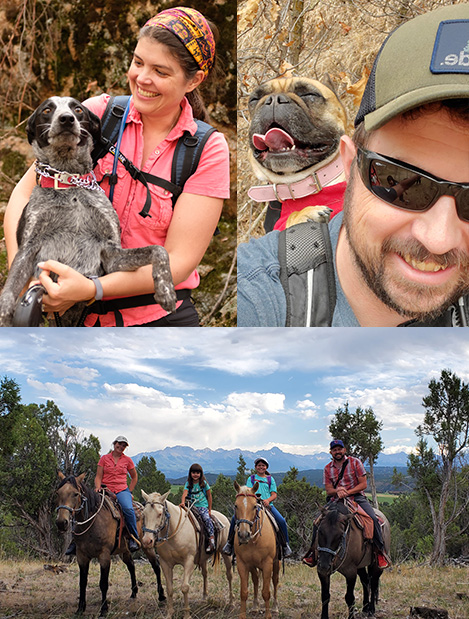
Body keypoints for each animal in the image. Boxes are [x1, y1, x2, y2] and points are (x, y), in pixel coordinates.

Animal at [55, 474, 165, 616]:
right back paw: (134, 593)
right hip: (125, 550)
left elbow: (103, 583)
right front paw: (80, 609)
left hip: (147, 545)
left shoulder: (104, 555)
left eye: (75, 494)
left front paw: (104, 610)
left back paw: (161, 596)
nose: (61, 522)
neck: (93, 522)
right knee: (131, 566)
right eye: (58, 493)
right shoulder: (81, 556)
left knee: (156, 566)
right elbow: (82, 582)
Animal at [140, 490, 233, 619]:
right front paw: (169, 613)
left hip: (226, 555)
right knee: (205, 574)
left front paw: (187, 614)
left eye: (159, 513)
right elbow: (169, 588)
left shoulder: (189, 562)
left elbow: (185, 587)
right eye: (144, 514)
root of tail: (222, 516)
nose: (147, 541)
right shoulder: (165, 563)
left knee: (229, 575)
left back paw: (231, 602)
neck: (174, 532)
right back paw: (204, 597)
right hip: (203, 558)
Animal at [231, 484, 278, 619]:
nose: (243, 535)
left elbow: (266, 592)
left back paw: (275, 608)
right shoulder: (242, 564)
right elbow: (244, 592)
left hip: (276, 563)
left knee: (275, 581)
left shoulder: (268, 564)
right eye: (236, 505)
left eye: (254, 506)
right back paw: (255, 607)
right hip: (252, 566)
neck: (254, 540)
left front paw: (268, 615)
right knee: (256, 580)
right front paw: (242, 615)